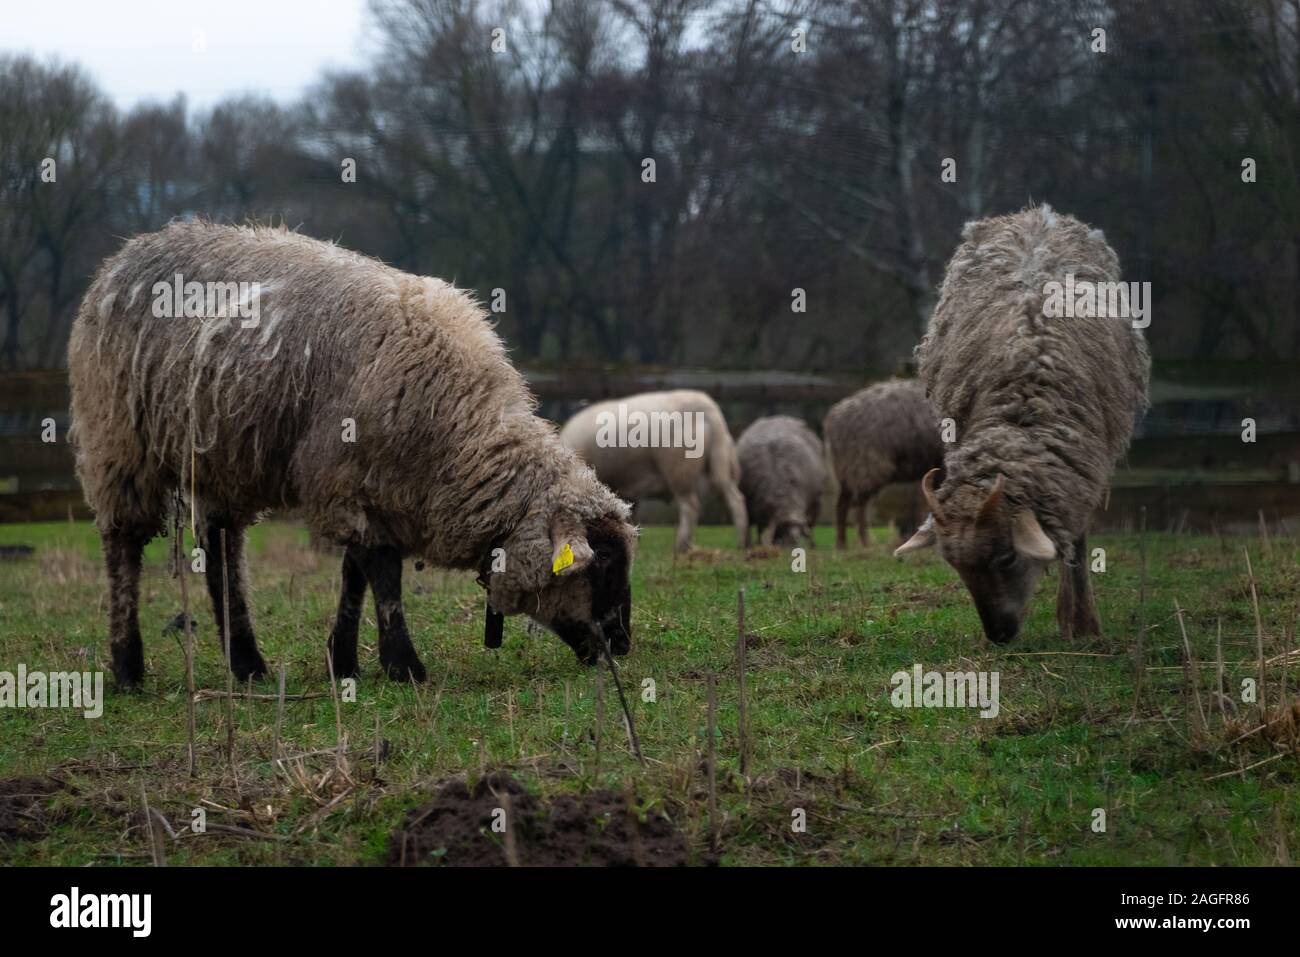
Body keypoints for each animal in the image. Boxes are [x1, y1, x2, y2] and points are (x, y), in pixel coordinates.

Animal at [67, 222, 637, 689]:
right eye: (601, 563)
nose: (623, 645)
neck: (459, 430)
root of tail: (124, 253)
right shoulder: (349, 483)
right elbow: (383, 575)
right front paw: (404, 665)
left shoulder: (369, 485)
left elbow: (354, 576)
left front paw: (342, 660)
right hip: (118, 440)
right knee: (123, 546)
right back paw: (128, 667)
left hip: (223, 456)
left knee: (222, 548)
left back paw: (247, 662)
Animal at [559, 390, 746, 552]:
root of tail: (710, 411)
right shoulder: (628, 491)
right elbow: (629, 517)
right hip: (720, 463)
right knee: (736, 500)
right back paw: (742, 542)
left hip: (679, 467)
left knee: (690, 506)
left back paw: (682, 545)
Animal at [735, 415, 827, 548]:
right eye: (782, 530)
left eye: (799, 536)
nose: (789, 546)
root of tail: (776, 418)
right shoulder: (758, 509)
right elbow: (759, 530)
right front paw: (758, 545)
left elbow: (811, 528)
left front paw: (812, 545)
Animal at [823, 379, 943, 549]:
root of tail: (834, 418)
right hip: (866, 464)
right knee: (860, 505)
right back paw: (865, 543)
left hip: (847, 470)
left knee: (842, 504)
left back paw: (842, 545)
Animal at [894, 205, 1150, 644]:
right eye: (955, 566)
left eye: (1008, 557)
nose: (999, 634)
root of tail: (1035, 212)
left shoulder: (1081, 466)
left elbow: (1075, 539)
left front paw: (1081, 623)